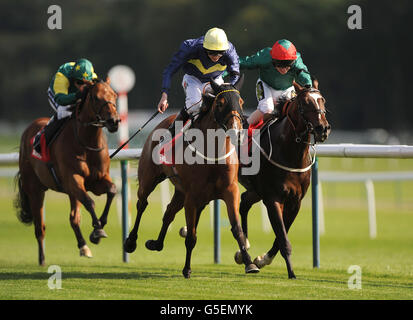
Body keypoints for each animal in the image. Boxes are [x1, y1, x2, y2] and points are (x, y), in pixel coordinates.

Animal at [14, 77, 120, 264]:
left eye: (114, 95)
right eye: (95, 98)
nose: (114, 121)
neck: (86, 142)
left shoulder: (97, 180)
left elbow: (112, 190)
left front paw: (100, 225)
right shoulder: (73, 179)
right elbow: (90, 202)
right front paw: (97, 230)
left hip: (68, 192)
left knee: (73, 218)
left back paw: (83, 246)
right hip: (35, 189)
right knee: (40, 227)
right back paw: (42, 259)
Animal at [122, 77, 258, 278]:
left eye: (240, 102)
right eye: (220, 103)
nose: (235, 130)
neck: (213, 155)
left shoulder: (229, 191)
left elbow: (237, 229)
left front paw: (249, 263)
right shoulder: (192, 197)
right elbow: (192, 236)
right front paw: (187, 269)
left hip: (180, 191)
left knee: (168, 212)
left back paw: (156, 243)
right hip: (149, 178)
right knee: (142, 204)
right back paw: (131, 242)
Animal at [233, 81, 330, 278]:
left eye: (322, 100)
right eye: (305, 103)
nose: (323, 128)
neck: (290, 153)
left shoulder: (295, 201)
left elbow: (280, 236)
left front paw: (262, 259)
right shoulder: (273, 199)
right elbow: (283, 237)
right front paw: (291, 272)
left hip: (256, 190)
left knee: (244, 203)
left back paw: (243, 249)